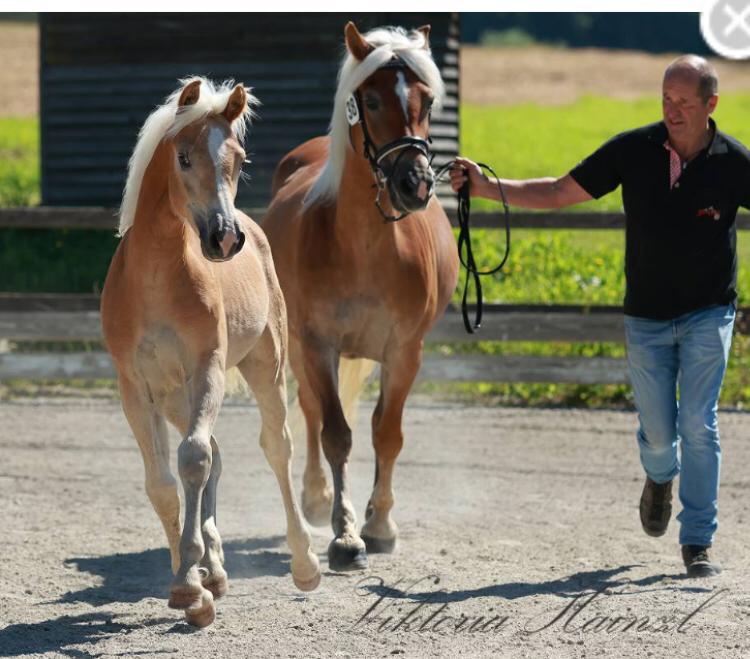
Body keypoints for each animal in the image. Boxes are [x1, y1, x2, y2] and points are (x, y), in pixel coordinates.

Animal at [100, 77, 320, 628]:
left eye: (238, 159)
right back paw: (216, 571)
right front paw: (194, 587)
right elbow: (162, 483)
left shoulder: (208, 369)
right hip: (174, 399)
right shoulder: (135, 388)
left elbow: (194, 460)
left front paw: (189, 582)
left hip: (264, 369)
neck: (156, 279)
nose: (224, 237)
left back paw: (305, 563)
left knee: (276, 447)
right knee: (215, 456)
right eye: (183, 157)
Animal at [264, 24, 458, 572]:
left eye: (427, 100)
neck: (366, 247)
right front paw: (346, 534)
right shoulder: (317, 344)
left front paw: (380, 524)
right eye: (370, 100)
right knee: (310, 410)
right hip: (301, 350)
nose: (415, 185)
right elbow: (336, 433)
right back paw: (314, 499)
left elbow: (386, 433)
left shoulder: (405, 351)